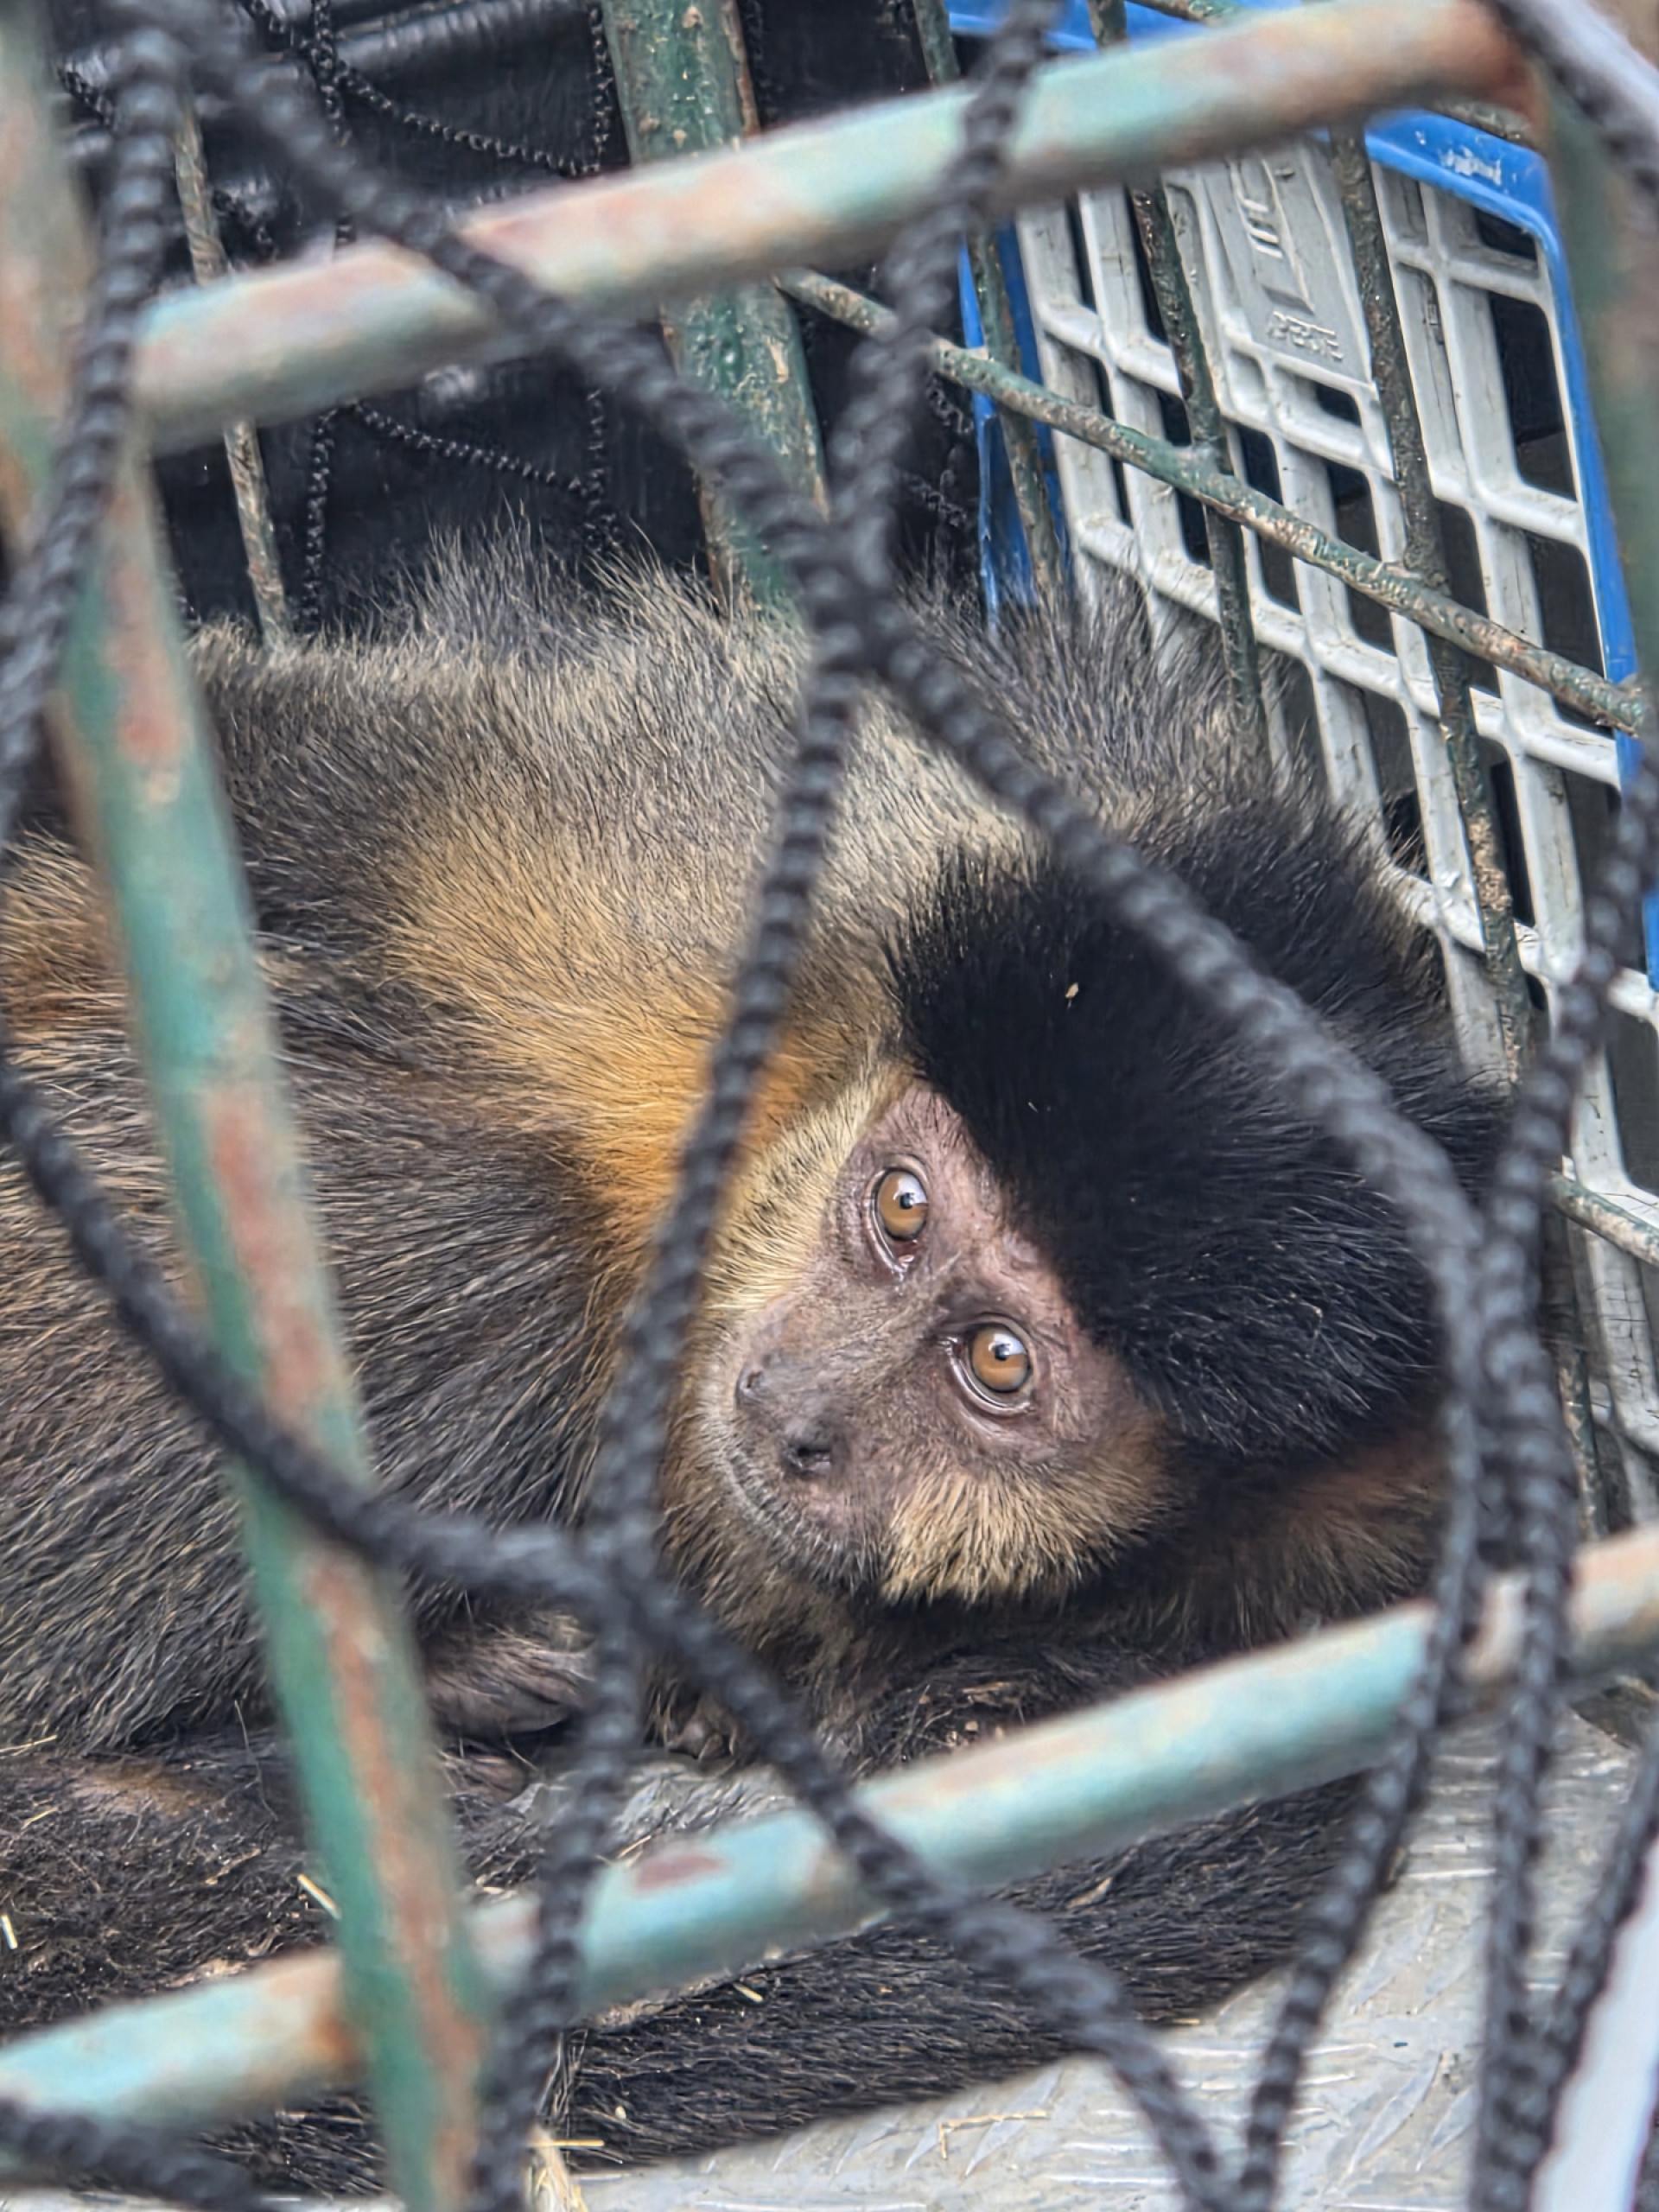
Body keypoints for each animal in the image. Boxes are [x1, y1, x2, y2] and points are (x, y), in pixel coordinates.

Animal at [0, 550, 1503, 2180]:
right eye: (899, 1210)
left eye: (998, 1363)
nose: (795, 1411)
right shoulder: (704, 853)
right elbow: (263, 767)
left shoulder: (1341, 1548)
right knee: (507, 1218)